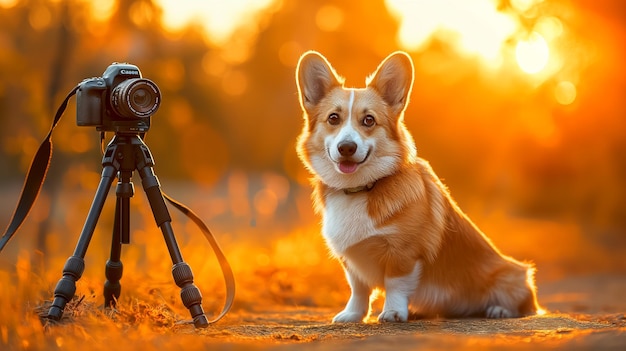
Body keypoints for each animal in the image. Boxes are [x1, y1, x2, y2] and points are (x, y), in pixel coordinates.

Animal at [292, 50, 536, 324]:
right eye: (333, 118)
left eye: (369, 120)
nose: (346, 147)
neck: (360, 188)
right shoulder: (352, 259)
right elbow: (358, 288)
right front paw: (352, 314)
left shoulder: (403, 252)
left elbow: (395, 284)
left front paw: (393, 312)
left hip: (512, 276)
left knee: (525, 304)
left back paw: (499, 310)